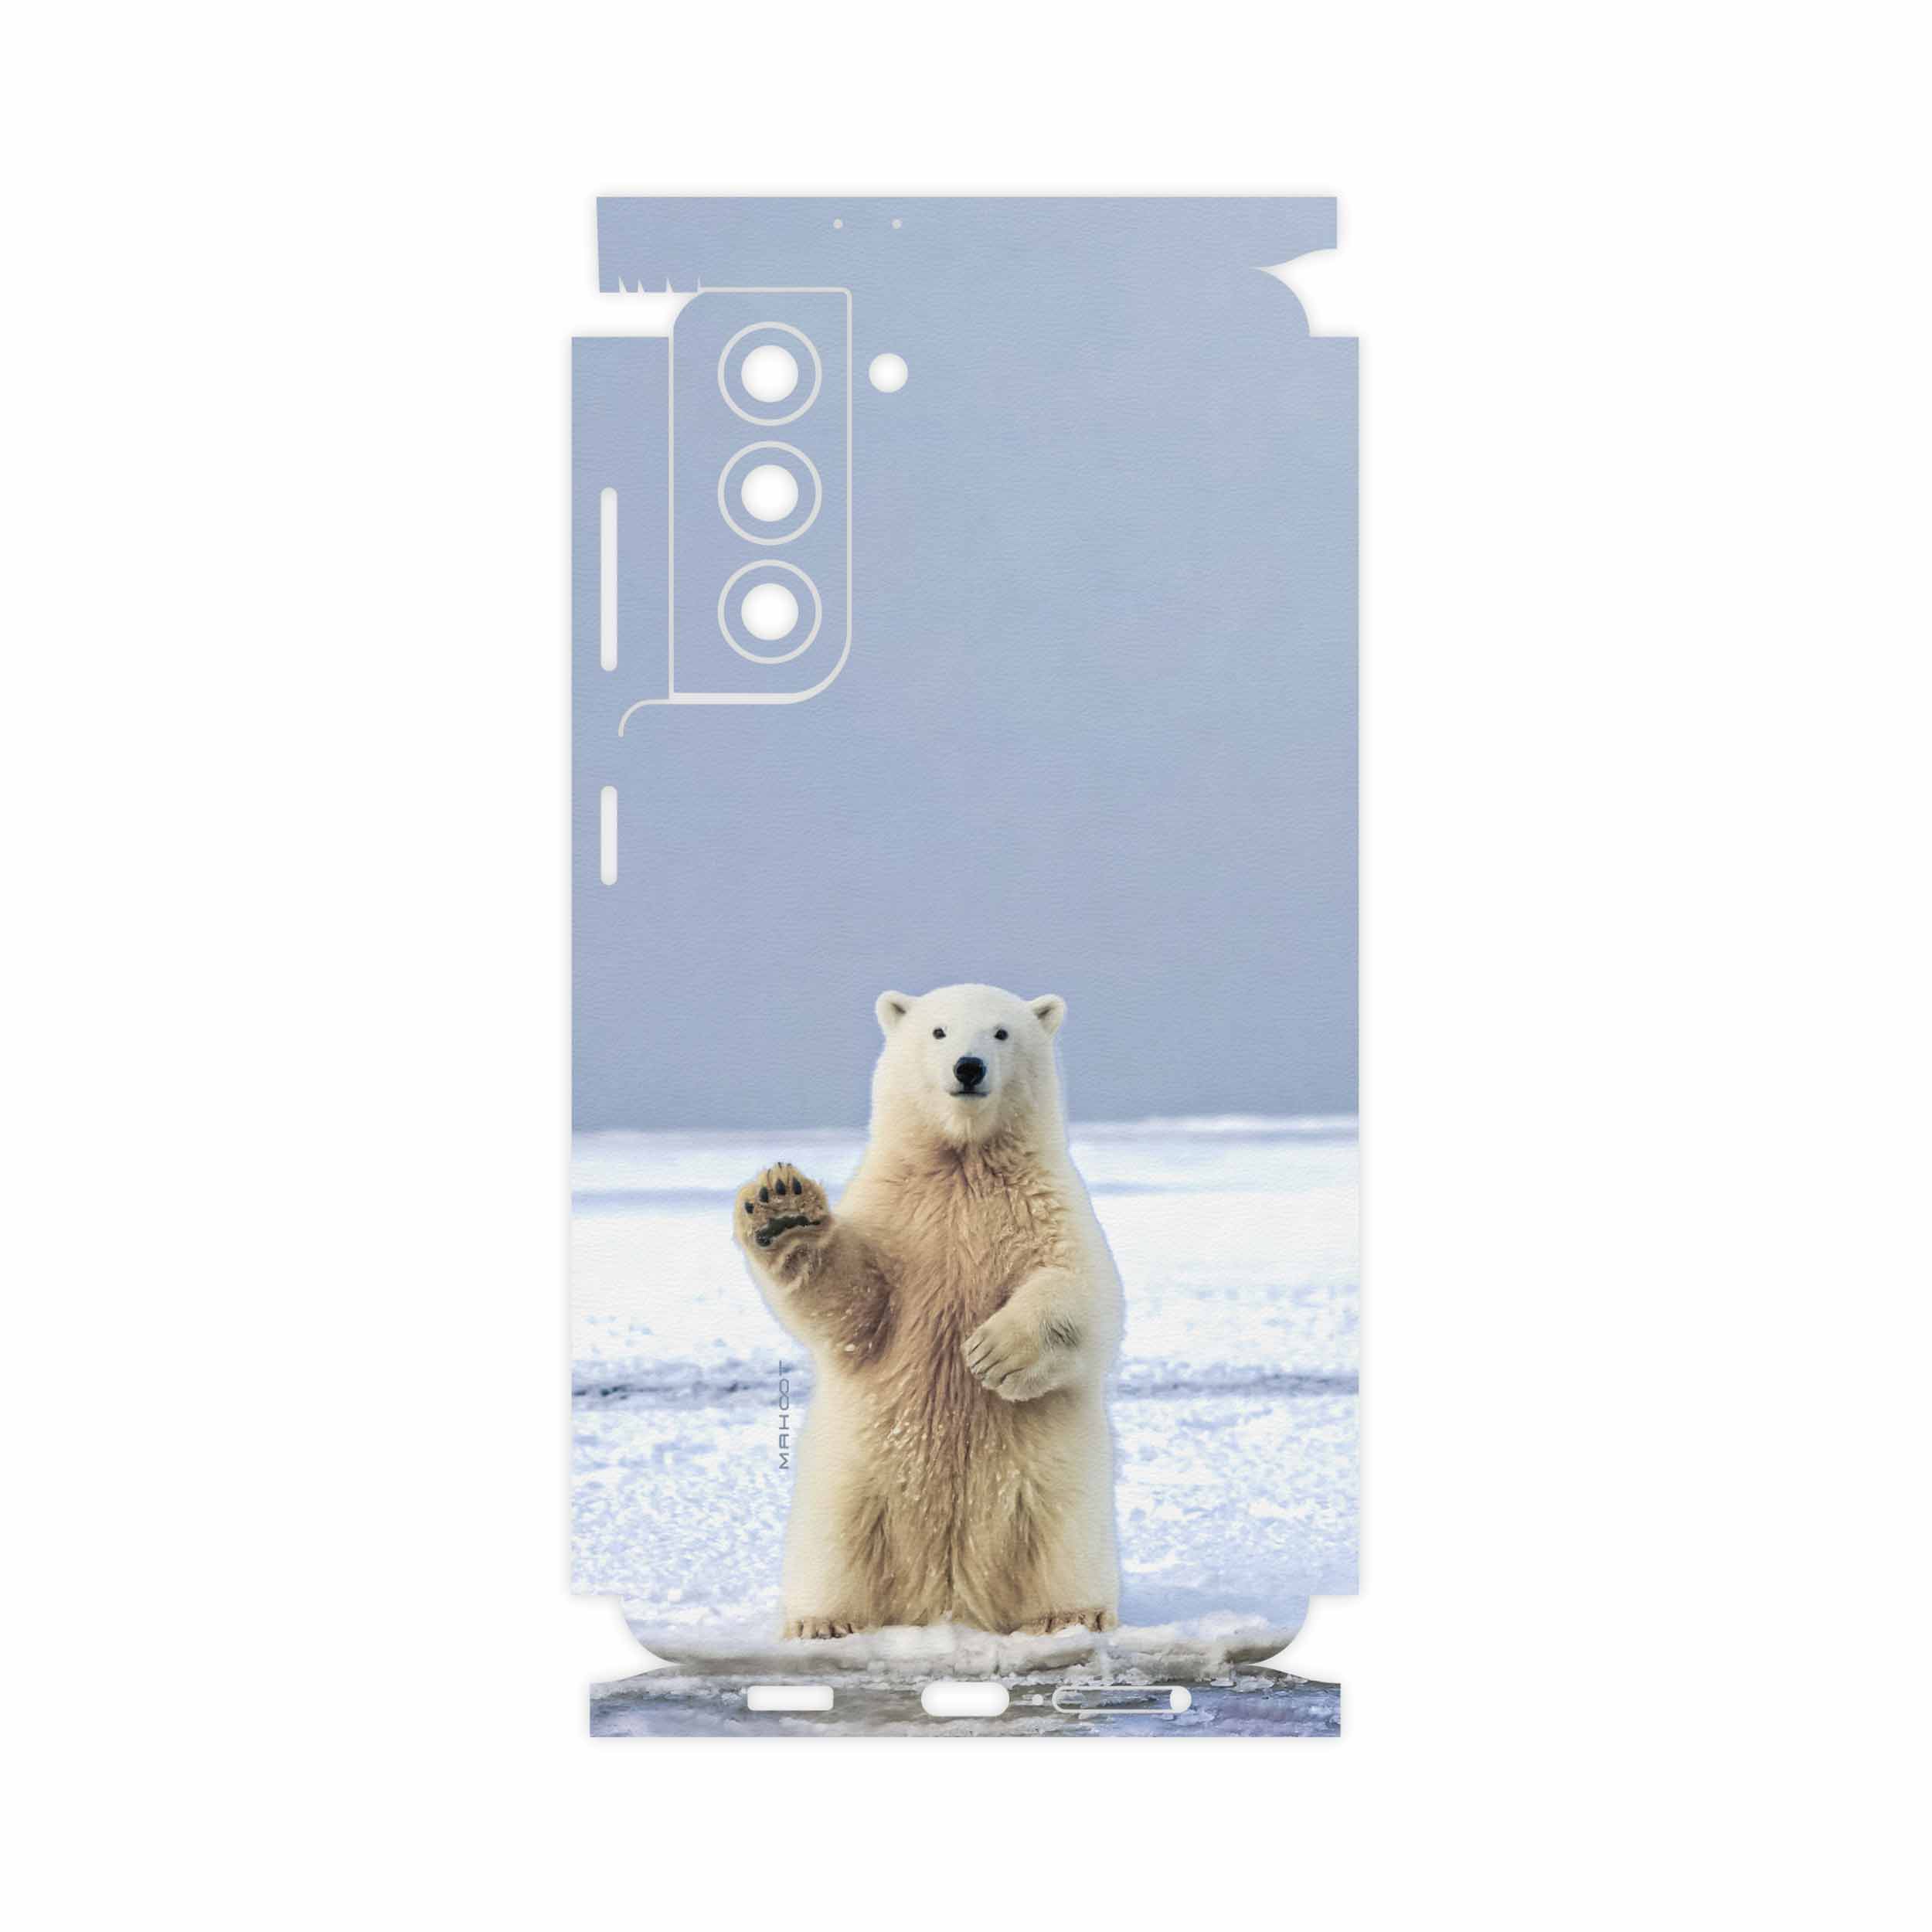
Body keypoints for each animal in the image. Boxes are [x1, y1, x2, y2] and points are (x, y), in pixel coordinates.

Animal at [733, 983, 1123, 1640]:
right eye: (939, 1031)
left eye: (1001, 1032)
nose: (969, 1068)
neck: (963, 1163)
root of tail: (947, 1599)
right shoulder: (899, 1214)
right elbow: (854, 1305)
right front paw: (781, 1209)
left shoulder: (1046, 1205)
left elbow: (1084, 1291)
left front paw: (992, 1353)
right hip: (852, 1483)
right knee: (835, 1546)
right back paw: (823, 1621)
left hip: (1056, 1488)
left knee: (1062, 1542)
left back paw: (1071, 1615)